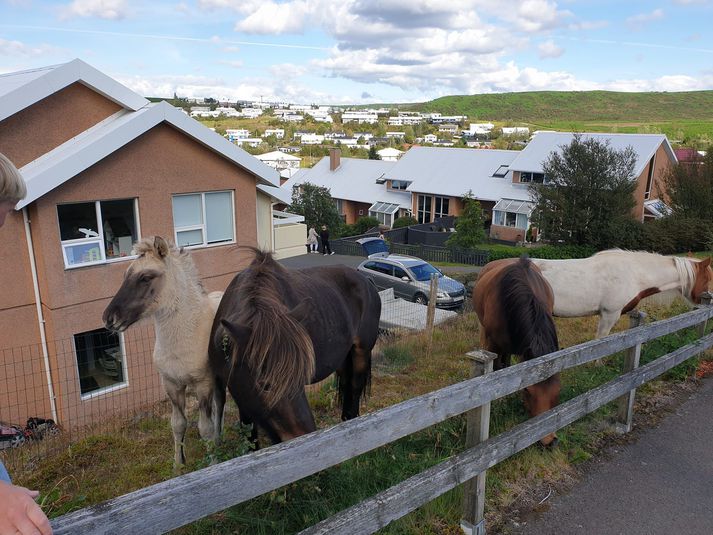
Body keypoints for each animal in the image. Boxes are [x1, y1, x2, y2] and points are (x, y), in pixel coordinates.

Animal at [103, 237, 224, 466]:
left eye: (146, 277)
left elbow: (205, 427)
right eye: (125, 275)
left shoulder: (203, 384)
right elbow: (177, 424)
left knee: (219, 406)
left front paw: (213, 463)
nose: (109, 318)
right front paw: (178, 464)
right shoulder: (171, 384)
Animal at [209, 249, 382, 446]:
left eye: (301, 377)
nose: (304, 437)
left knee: (354, 387)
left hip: (361, 351)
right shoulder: (242, 397)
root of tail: (366, 280)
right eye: (265, 385)